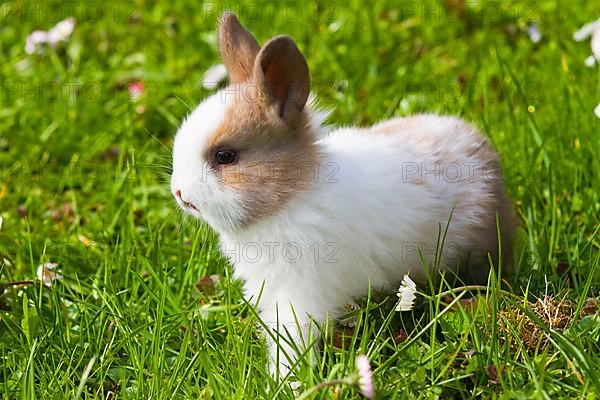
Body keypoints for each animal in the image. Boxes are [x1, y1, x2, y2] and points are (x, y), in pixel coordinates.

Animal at [171, 11, 512, 378]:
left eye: (225, 156)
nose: (179, 192)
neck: (290, 197)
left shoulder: (301, 296)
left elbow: (291, 340)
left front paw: (285, 381)